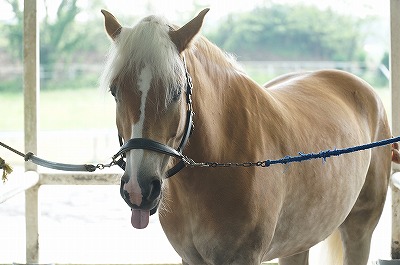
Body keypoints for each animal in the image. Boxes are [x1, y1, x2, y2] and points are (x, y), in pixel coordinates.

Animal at [101, 8, 400, 264]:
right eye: (115, 91)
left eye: (175, 91)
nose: (138, 190)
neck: (222, 158)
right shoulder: (190, 258)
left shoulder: (244, 257)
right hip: (298, 243)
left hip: (359, 230)